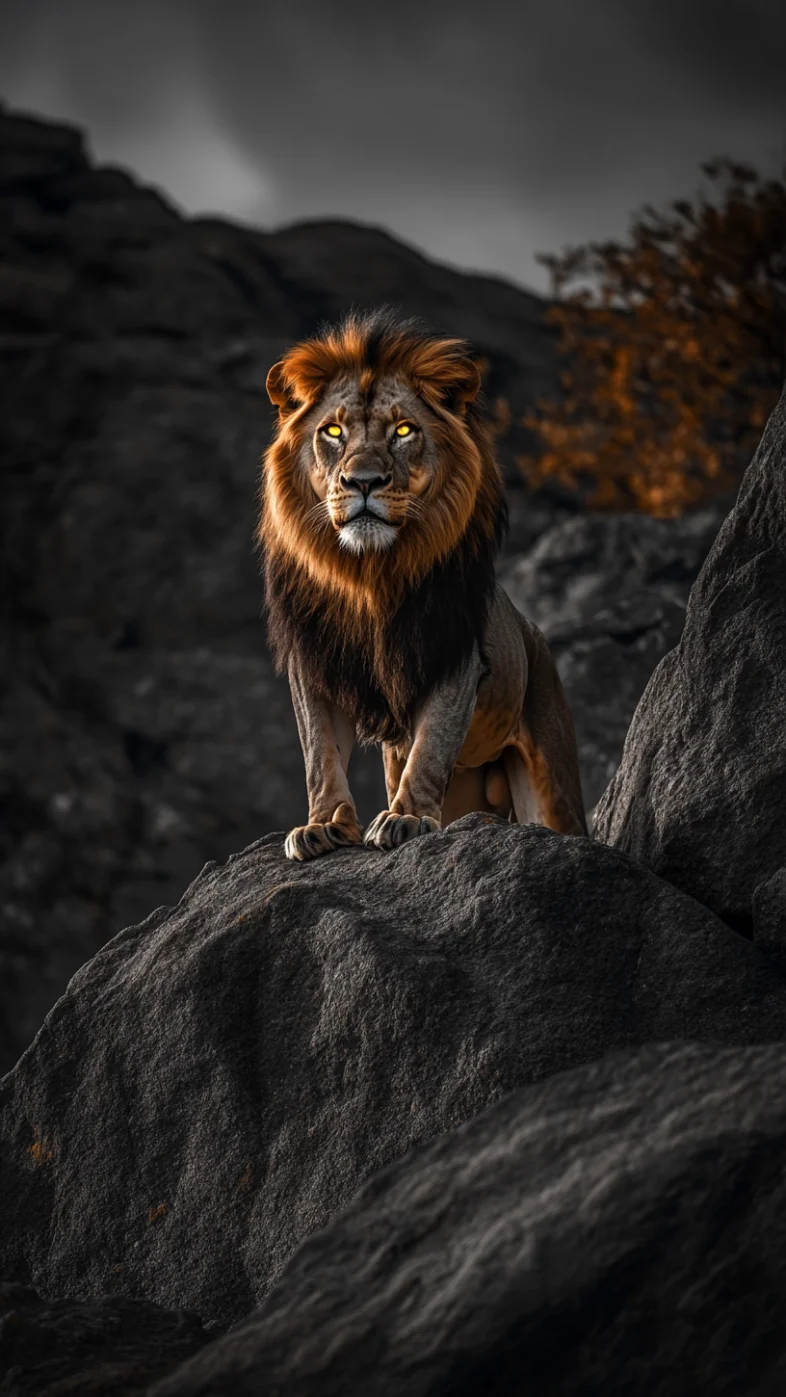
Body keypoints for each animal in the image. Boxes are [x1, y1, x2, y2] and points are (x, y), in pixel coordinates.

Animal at [259, 309, 588, 859]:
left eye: (403, 430)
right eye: (332, 431)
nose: (362, 481)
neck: (368, 575)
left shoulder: (451, 654)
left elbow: (431, 745)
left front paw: (407, 818)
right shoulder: (315, 662)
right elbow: (320, 754)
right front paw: (324, 826)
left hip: (551, 772)